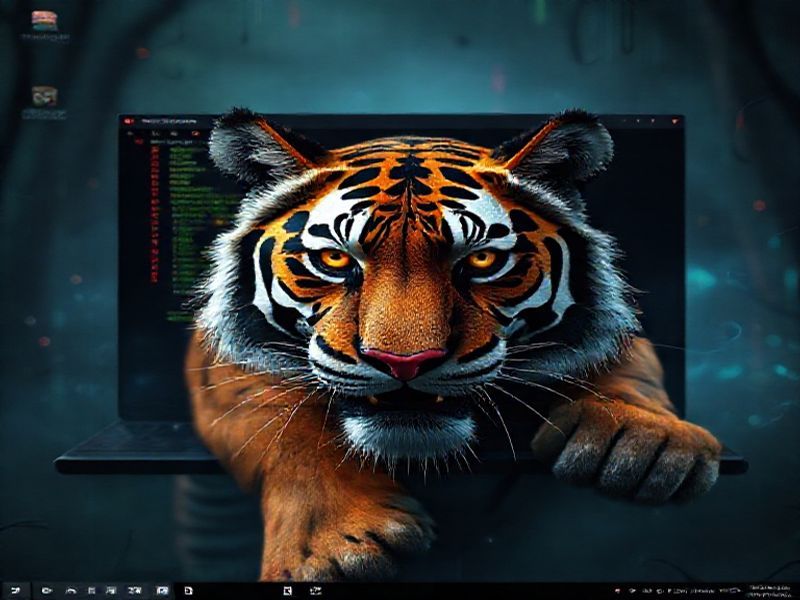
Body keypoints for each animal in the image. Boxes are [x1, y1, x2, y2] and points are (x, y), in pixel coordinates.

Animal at [185, 108, 722, 581]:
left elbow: (629, 361)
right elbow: (284, 421)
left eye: (482, 260)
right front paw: (336, 546)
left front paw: (644, 440)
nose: (403, 363)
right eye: (336, 260)